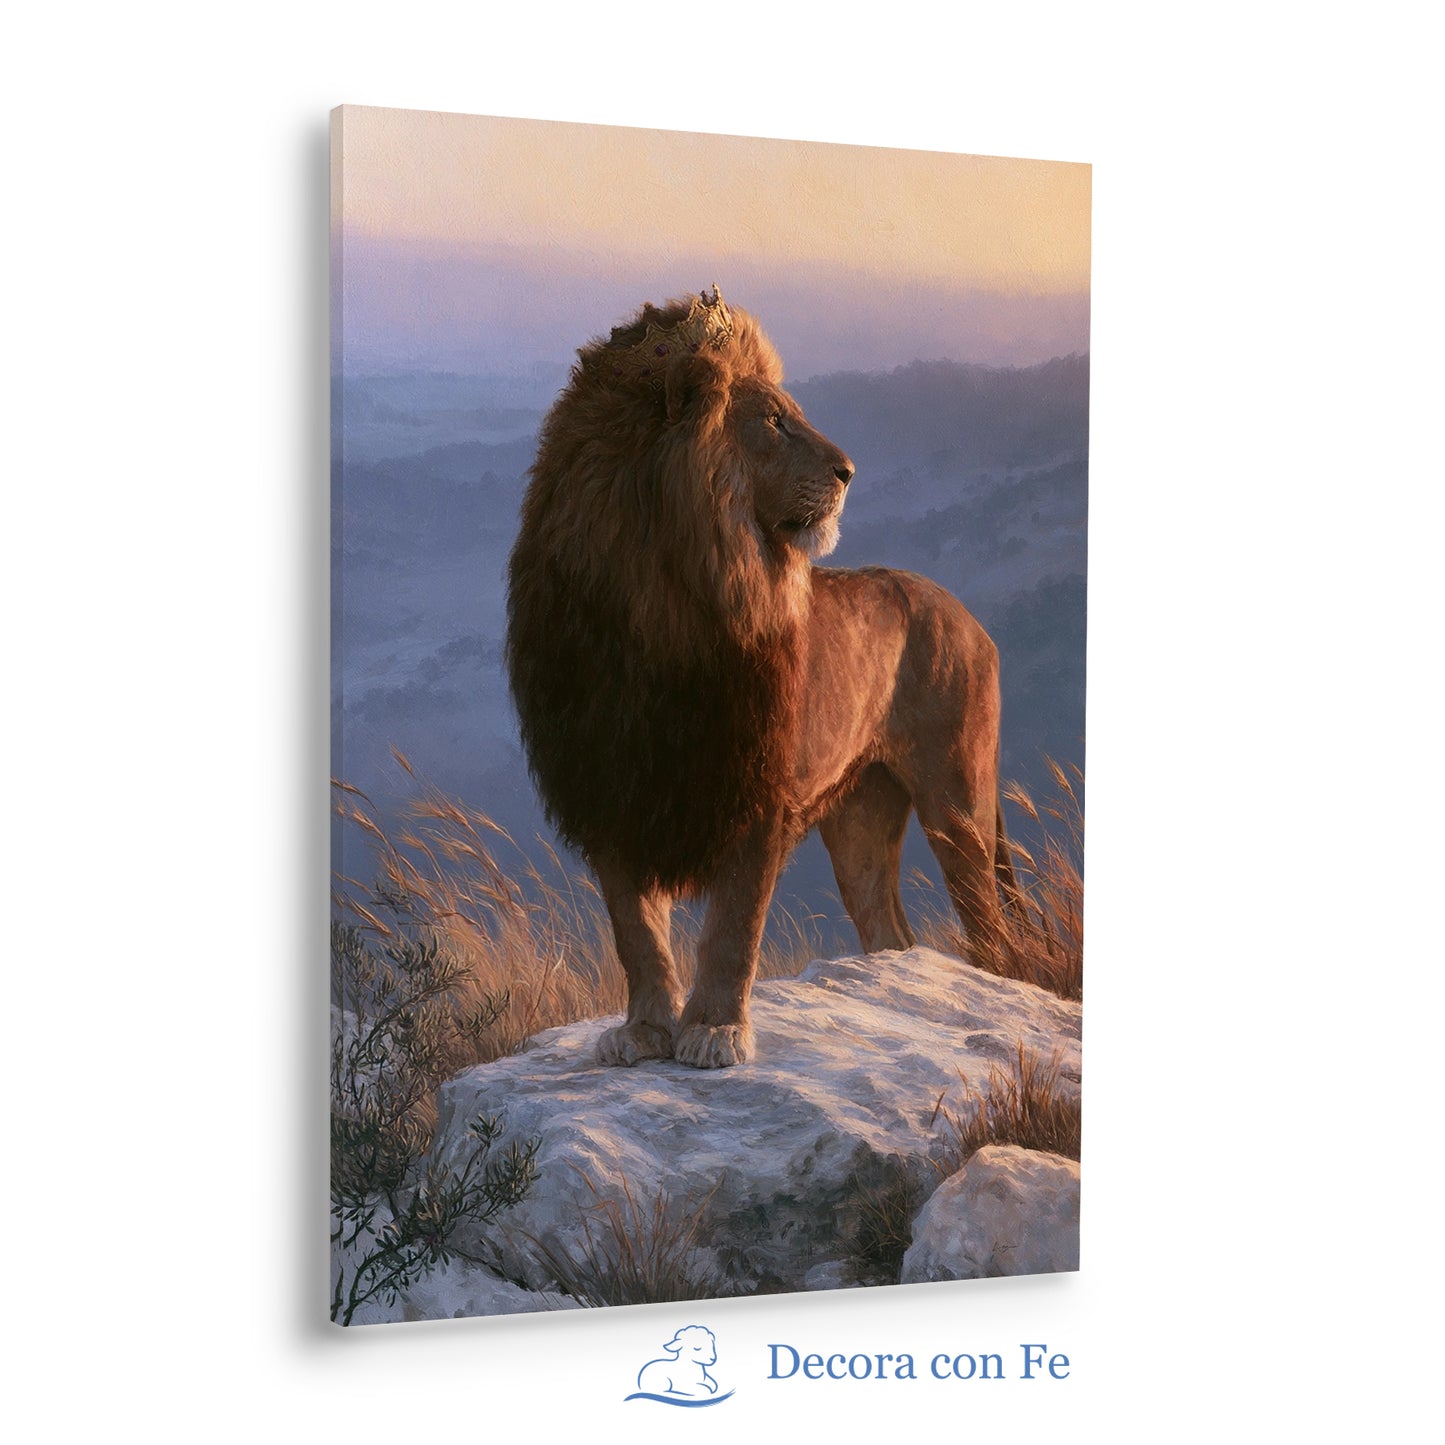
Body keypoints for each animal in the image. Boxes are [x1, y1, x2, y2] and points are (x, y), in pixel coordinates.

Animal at [506, 287, 1019, 1069]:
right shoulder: (612, 788)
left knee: (988, 929)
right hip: (861, 814)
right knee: (890, 932)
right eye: (774, 422)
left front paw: (715, 1031)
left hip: (958, 800)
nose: (849, 471)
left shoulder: (755, 788)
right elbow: (635, 930)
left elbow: (732, 927)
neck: (657, 603)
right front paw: (644, 1030)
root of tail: (968, 614)